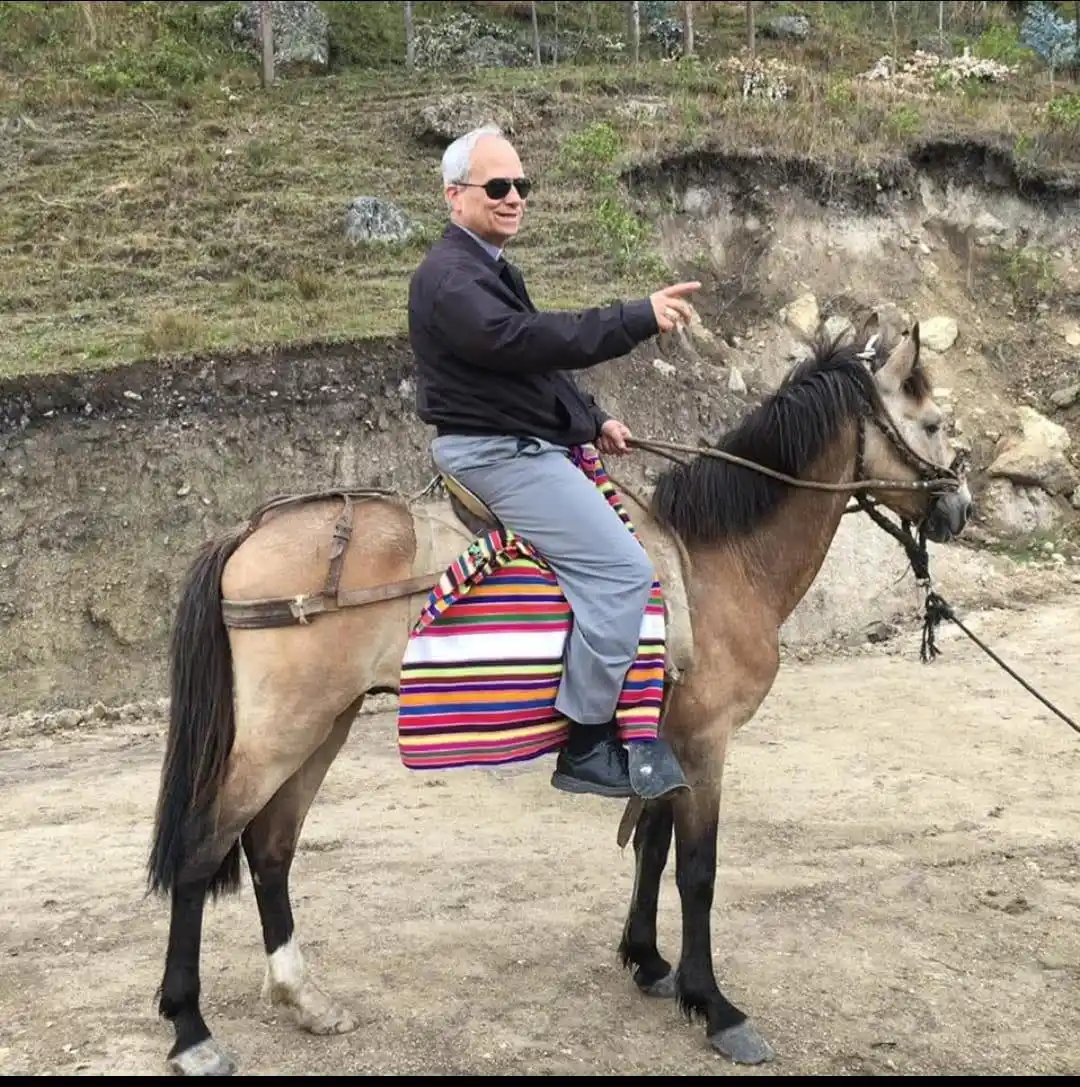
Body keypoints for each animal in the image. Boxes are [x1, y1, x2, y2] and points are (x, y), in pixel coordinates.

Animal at [145, 316, 972, 1076]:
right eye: (932, 422)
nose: (960, 508)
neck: (715, 561)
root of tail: (247, 533)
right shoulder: (705, 742)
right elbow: (697, 870)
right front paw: (716, 1006)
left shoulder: (663, 743)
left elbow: (651, 848)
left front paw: (648, 961)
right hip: (283, 727)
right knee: (201, 846)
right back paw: (192, 1029)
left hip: (326, 724)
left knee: (271, 846)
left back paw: (302, 996)